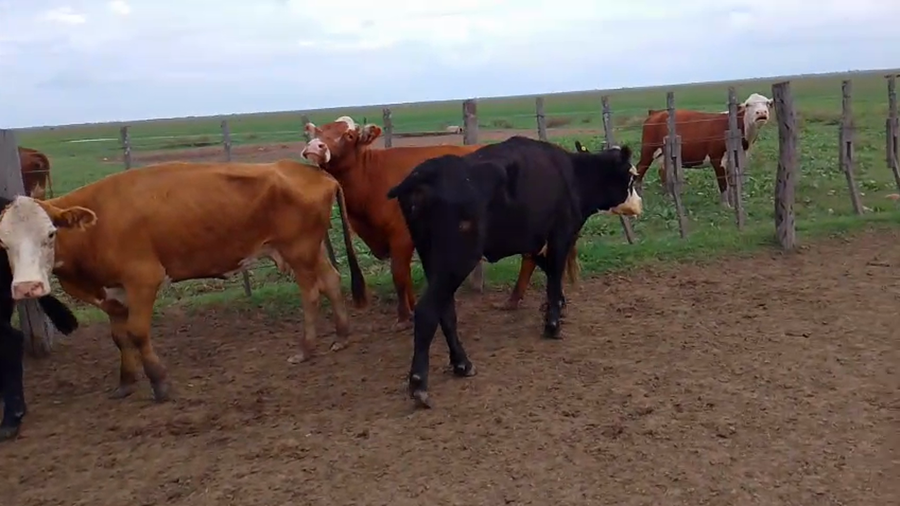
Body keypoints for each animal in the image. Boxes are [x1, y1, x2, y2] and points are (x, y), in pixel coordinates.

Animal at [0, 159, 368, 403]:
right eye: (3, 242)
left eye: (50, 234)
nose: (27, 287)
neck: (98, 225)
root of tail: (312, 170)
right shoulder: (111, 294)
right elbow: (120, 337)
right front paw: (126, 382)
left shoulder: (143, 280)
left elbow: (137, 333)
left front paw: (159, 383)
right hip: (311, 249)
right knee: (331, 280)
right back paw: (341, 335)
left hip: (298, 250)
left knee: (311, 292)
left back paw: (306, 349)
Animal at [300, 116, 579, 329]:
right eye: (319, 132)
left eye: (347, 135)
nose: (315, 147)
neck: (373, 176)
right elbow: (407, 277)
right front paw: (412, 307)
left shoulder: (401, 237)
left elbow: (399, 275)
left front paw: (403, 317)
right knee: (536, 256)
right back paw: (521, 300)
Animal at [386, 136, 643, 408]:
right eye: (631, 176)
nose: (639, 204)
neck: (572, 174)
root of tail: (425, 173)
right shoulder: (560, 234)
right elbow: (554, 275)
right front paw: (552, 324)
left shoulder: (533, 240)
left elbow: (548, 270)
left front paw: (559, 306)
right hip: (457, 259)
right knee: (427, 311)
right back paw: (419, 384)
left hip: (433, 259)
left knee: (444, 311)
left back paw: (462, 364)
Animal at [635, 93, 773, 206]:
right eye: (748, 105)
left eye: (767, 103)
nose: (761, 112)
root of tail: (656, 113)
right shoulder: (717, 158)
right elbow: (723, 183)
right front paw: (726, 206)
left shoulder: (738, 159)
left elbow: (732, 183)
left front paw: (734, 204)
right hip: (648, 150)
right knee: (640, 169)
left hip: (663, 155)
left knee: (662, 172)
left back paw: (668, 197)